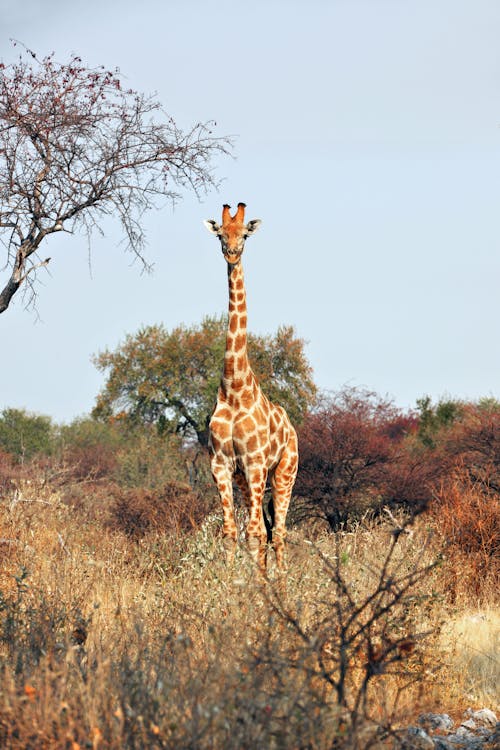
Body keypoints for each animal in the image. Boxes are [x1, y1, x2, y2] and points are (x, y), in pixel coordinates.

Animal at [205, 203, 298, 572]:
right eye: (220, 234)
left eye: (244, 234)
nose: (231, 253)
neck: (234, 387)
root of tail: (292, 428)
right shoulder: (221, 464)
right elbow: (232, 532)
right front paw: (230, 583)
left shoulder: (257, 462)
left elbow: (256, 532)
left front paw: (257, 586)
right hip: (247, 478)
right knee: (267, 530)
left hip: (284, 472)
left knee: (279, 532)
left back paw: (282, 582)